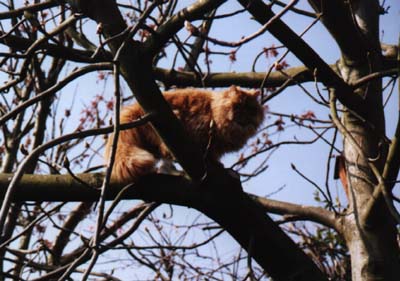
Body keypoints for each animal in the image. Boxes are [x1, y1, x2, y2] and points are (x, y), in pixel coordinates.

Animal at [104, 84, 264, 183]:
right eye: (237, 106)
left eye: (251, 109)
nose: (244, 115)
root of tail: (133, 110)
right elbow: (209, 154)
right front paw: (215, 164)